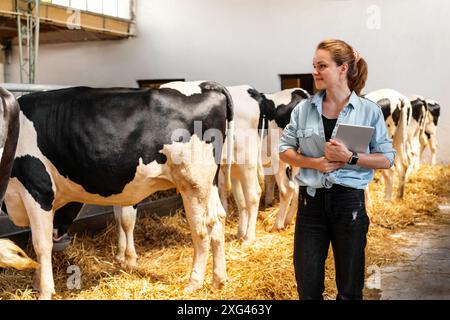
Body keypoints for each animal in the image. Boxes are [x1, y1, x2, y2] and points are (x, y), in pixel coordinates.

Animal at [3, 80, 234, 300]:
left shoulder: (37, 190)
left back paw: (194, 283)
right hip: (209, 183)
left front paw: (44, 290)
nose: (59, 233)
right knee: (217, 220)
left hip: (193, 184)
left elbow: (41, 244)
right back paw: (219, 280)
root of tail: (205, 85)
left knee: (201, 230)